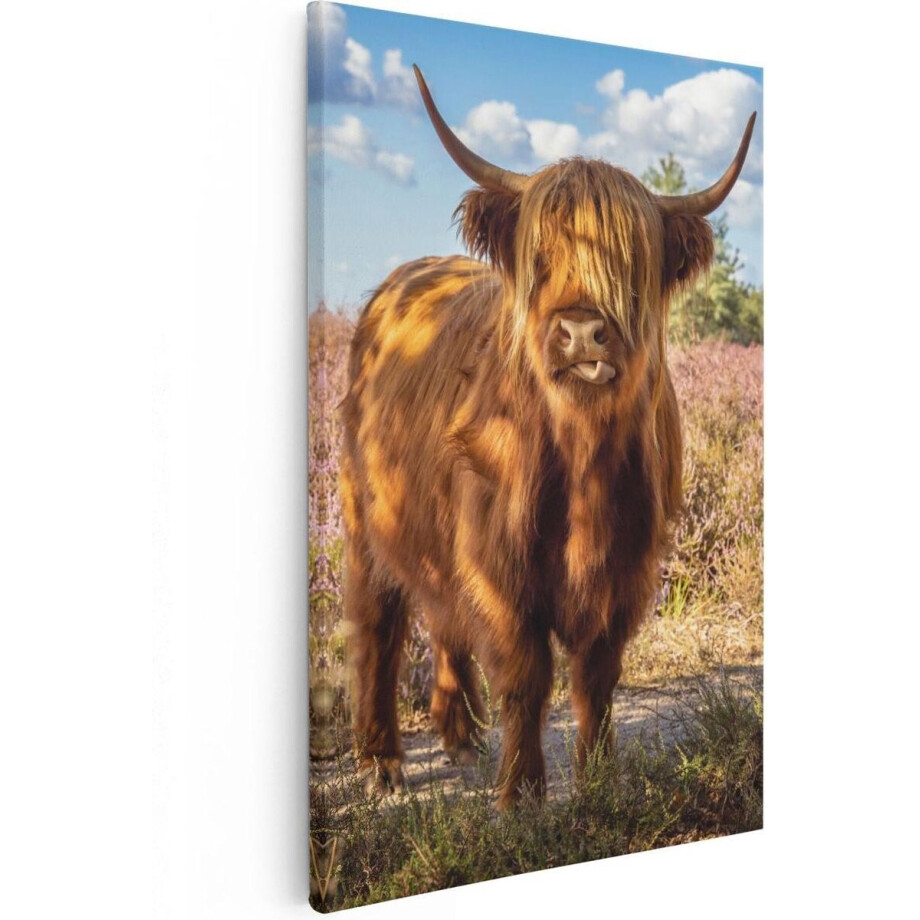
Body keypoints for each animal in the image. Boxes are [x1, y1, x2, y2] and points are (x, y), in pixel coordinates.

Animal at [340, 65, 755, 808]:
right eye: (541, 254)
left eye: (630, 262)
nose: (584, 331)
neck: (582, 459)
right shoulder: (500, 565)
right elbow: (526, 675)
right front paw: (522, 794)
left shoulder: (627, 567)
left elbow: (596, 676)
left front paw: (598, 779)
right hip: (366, 519)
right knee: (378, 626)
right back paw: (382, 761)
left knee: (443, 618)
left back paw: (459, 738)